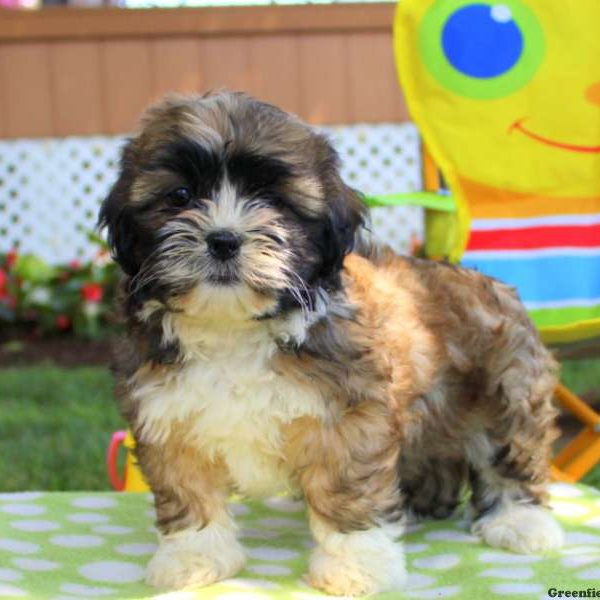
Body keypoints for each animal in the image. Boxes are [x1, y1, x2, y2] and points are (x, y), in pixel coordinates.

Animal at [98, 90, 564, 596]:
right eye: (180, 196)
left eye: (271, 200)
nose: (223, 239)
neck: (234, 326)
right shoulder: (167, 415)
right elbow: (188, 490)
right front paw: (194, 557)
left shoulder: (348, 420)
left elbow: (348, 491)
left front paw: (357, 566)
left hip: (507, 384)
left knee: (511, 449)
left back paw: (521, 522)